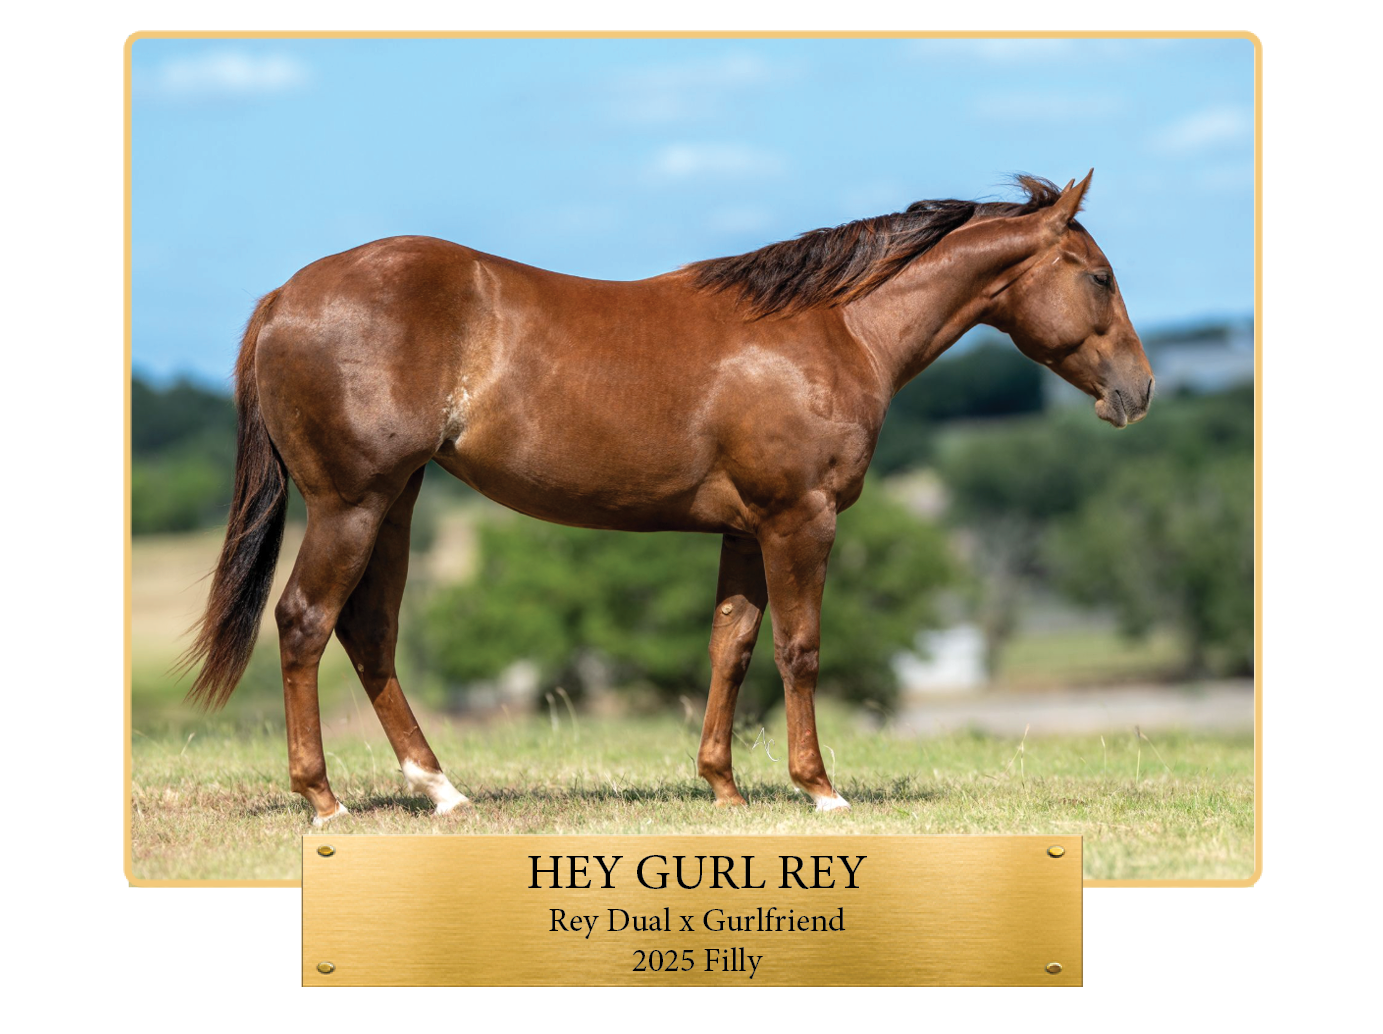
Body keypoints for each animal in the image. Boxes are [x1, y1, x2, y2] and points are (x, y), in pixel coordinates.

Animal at [181, 171, 1152, 825]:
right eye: (1097, 276)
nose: (1138, 391)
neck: (832, 330)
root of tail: (284, 297)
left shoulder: (747, 530)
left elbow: (731, 646)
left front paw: (721, 784)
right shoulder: (800, 520)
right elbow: (799, 649)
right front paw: (819, 789)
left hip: (395, 502)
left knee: (367, 631)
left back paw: (440, 789)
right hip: (353, 502)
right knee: (306, 622)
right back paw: (323, 799)